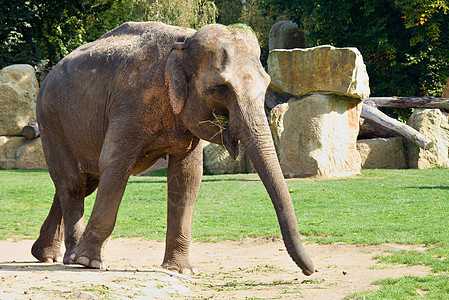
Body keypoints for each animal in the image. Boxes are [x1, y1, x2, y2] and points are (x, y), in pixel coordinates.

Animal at [31, 21, 314, 276]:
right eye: (220, 88)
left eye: (267, 83)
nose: (311, 270)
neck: (185, 40)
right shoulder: (132, 100)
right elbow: (114, 161)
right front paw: (89, 263)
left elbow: (187, 176)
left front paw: (181, 271)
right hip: (51, 119)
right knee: (73, 184)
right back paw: (73, 258)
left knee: (81, 183)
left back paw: (47, 256)